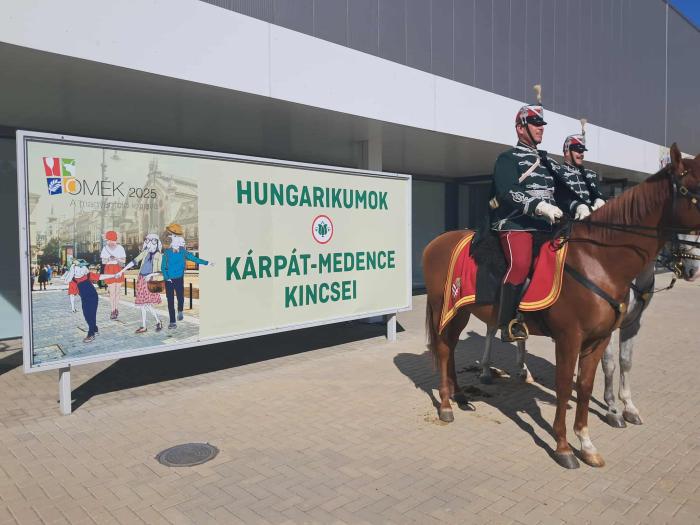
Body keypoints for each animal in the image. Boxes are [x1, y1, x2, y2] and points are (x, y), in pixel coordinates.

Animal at [422, 144, 700, 469]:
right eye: (693, 189)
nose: (692, 268)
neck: (598, 261)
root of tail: (437, 242)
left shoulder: (601, 337)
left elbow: (587, 385)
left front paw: (587, 443)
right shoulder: (570, 338)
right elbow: (567, 384)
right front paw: (565, 446)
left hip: (461, 311)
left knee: (452, 347)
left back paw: (460, 396)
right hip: (445, 308)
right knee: (444, 349)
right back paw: (446, 403)